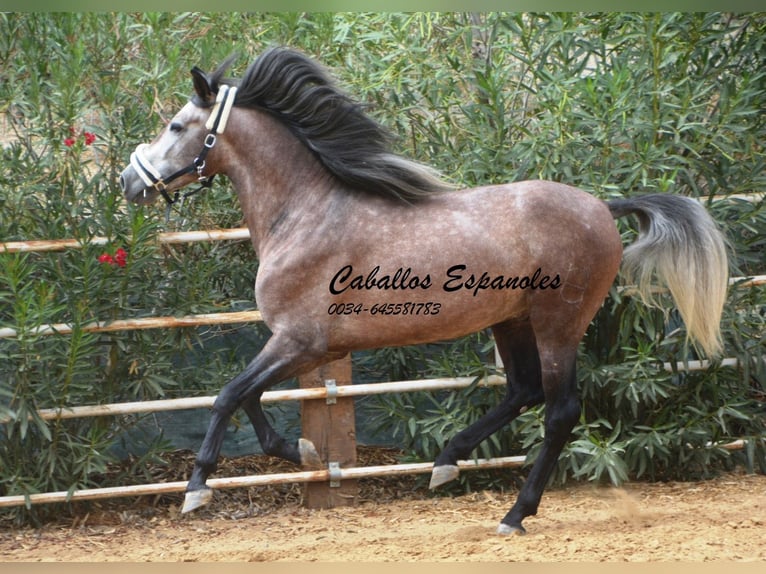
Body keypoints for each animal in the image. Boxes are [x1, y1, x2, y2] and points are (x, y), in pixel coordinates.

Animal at [117, 48, 728, 536]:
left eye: (176, 126)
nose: (128, 181)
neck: (305, 214)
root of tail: (603, 206)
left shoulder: (300, 341)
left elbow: (228, 395)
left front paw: (197, 489)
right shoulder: (305, 347)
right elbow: (249, 398)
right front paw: (302, 450)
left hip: (559, 322)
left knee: (559, 411)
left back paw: (513, 515)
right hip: (511, 321)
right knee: (522, 390)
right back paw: (447, 462)